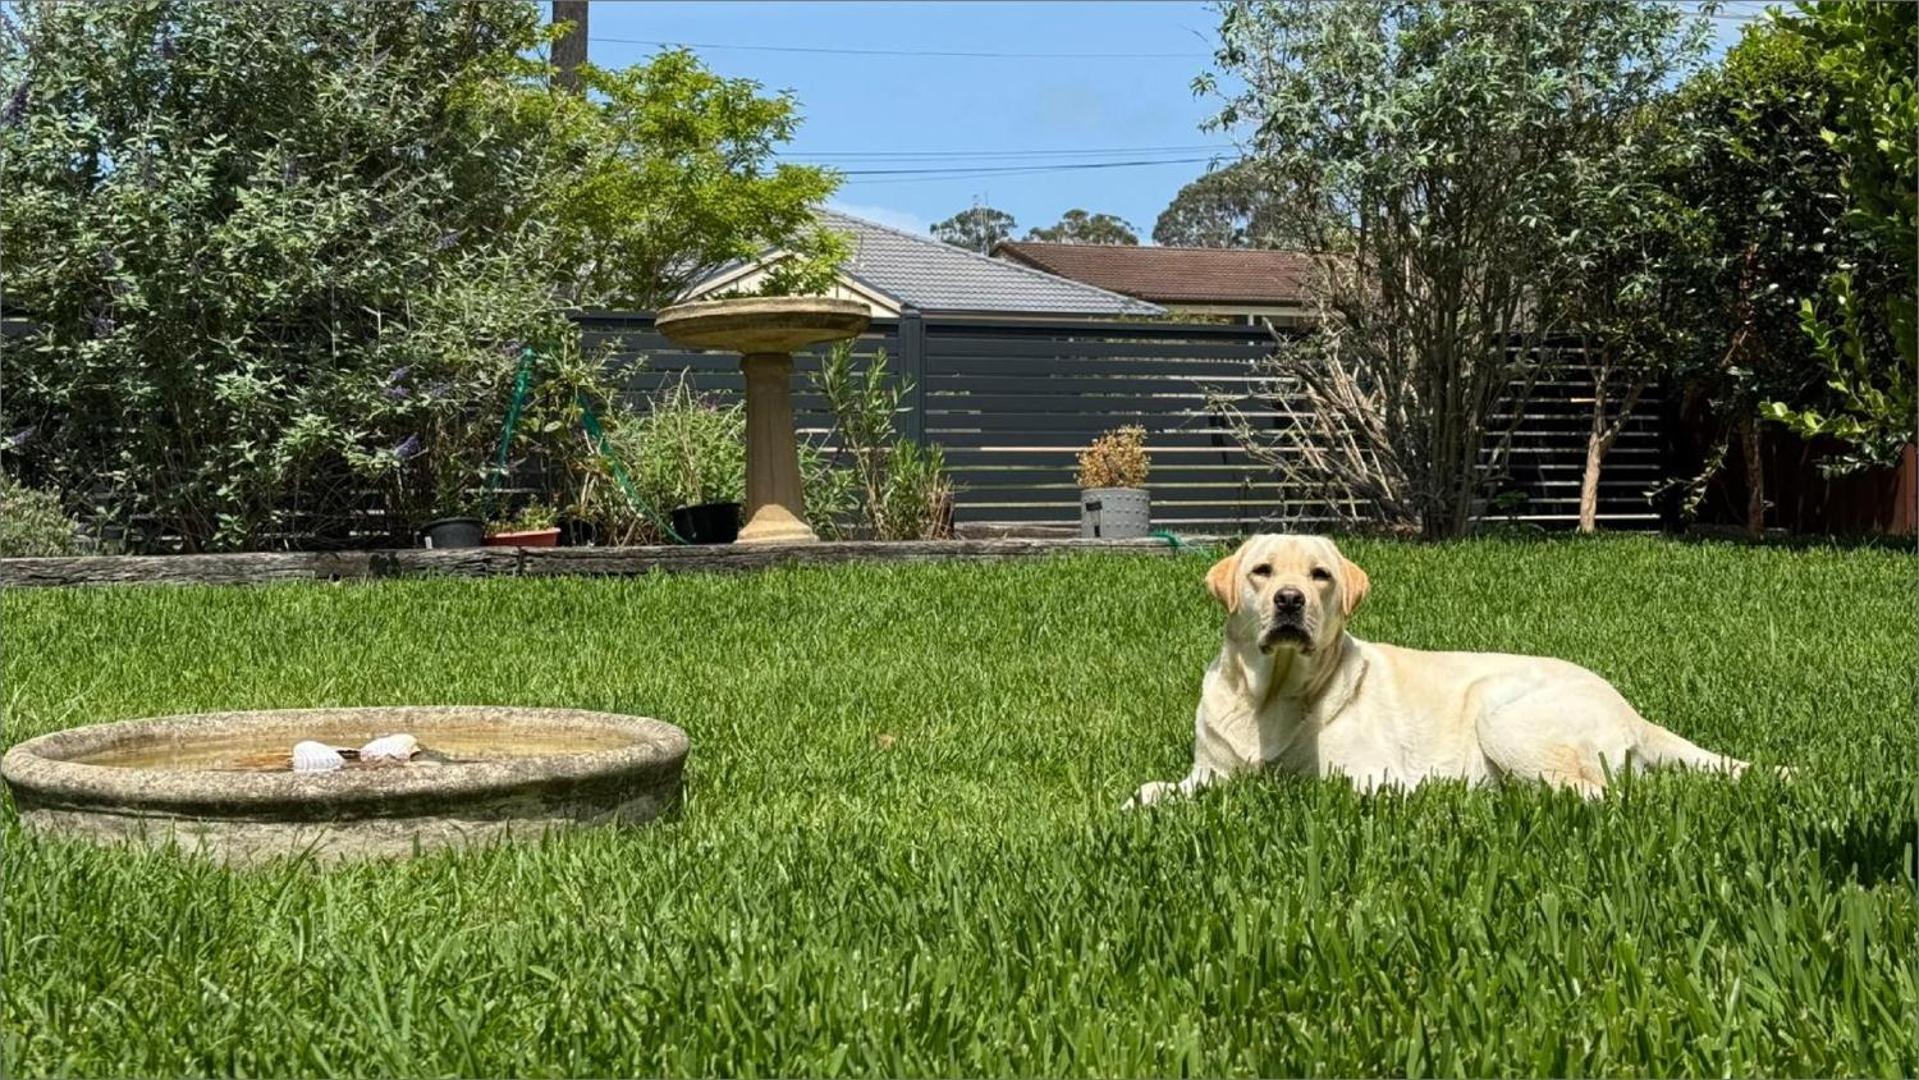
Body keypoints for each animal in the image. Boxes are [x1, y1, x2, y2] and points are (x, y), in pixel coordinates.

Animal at [1128, 537, 1750, 805]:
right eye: (1262, 571)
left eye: (1320, 575)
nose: (1289, 600)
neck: (1270, 694)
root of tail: (1629, 708)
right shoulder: (1208, 774)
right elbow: (1152, 791)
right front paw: (1143, 805)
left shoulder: (1369, 777)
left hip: (1503, 716)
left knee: (1596, 795)